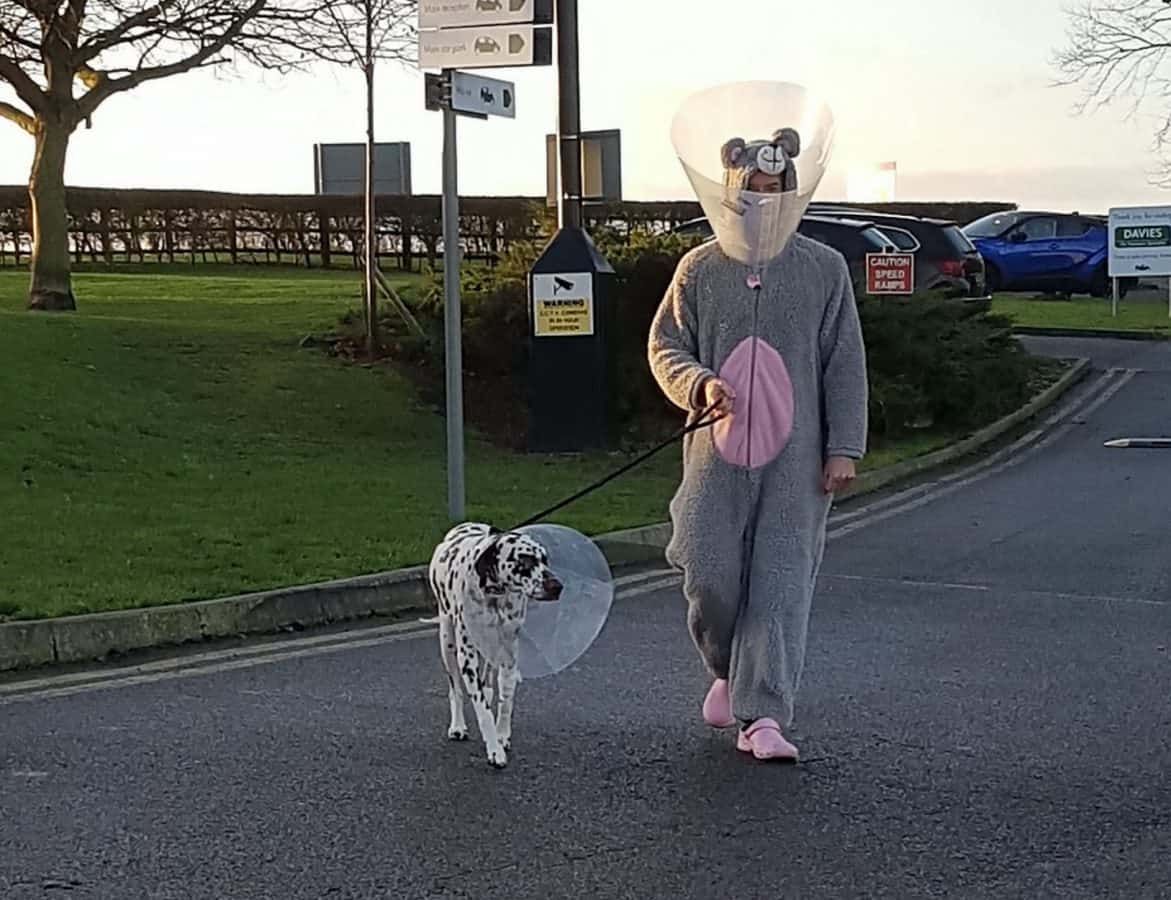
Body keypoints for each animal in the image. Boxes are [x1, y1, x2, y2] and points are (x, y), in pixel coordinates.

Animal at [430, 524, 562, 767]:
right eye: (525, 559)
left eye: (544, 559)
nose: (557, 586)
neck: (493, 593)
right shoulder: (467, 658)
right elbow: (481, 708)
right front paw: (494, 750)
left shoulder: (509, 652)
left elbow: (506, 699)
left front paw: (502, 736)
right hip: (448, 642)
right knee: (456, 689)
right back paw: (458, 725)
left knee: (489, 682)